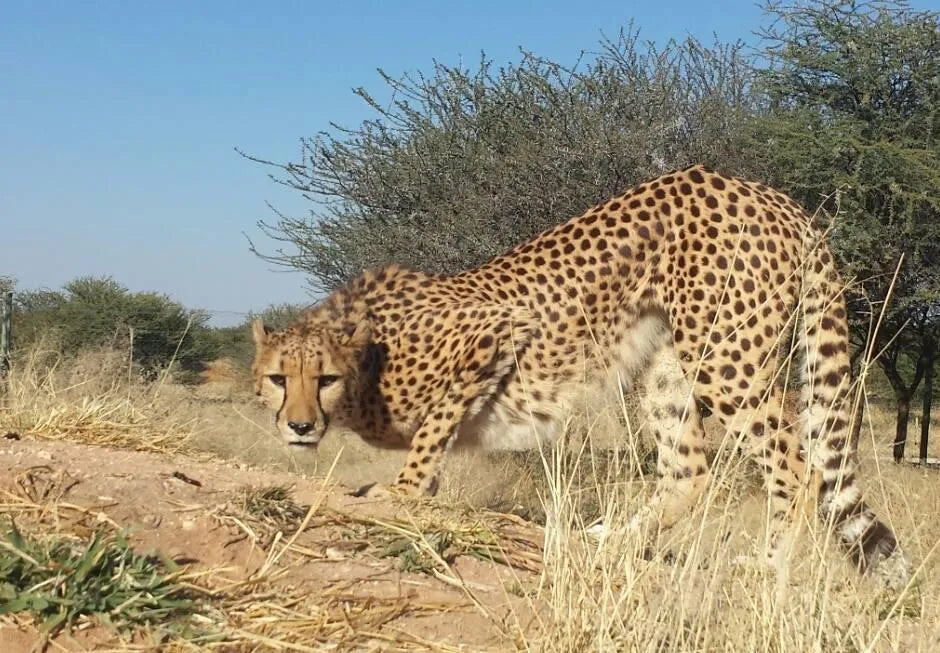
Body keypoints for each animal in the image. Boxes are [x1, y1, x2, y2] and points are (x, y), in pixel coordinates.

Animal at [251, 164, 908, 586]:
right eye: (278, 380)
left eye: (324, 379)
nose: (300, 427)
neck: (368, 363)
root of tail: (773, 196)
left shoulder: (493, 334)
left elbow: (431, 434)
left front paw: (401, 492)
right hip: (669, 366)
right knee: (688, 471)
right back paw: (616, 539)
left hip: (724, 359)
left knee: (797, 465)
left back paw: (770, 565)